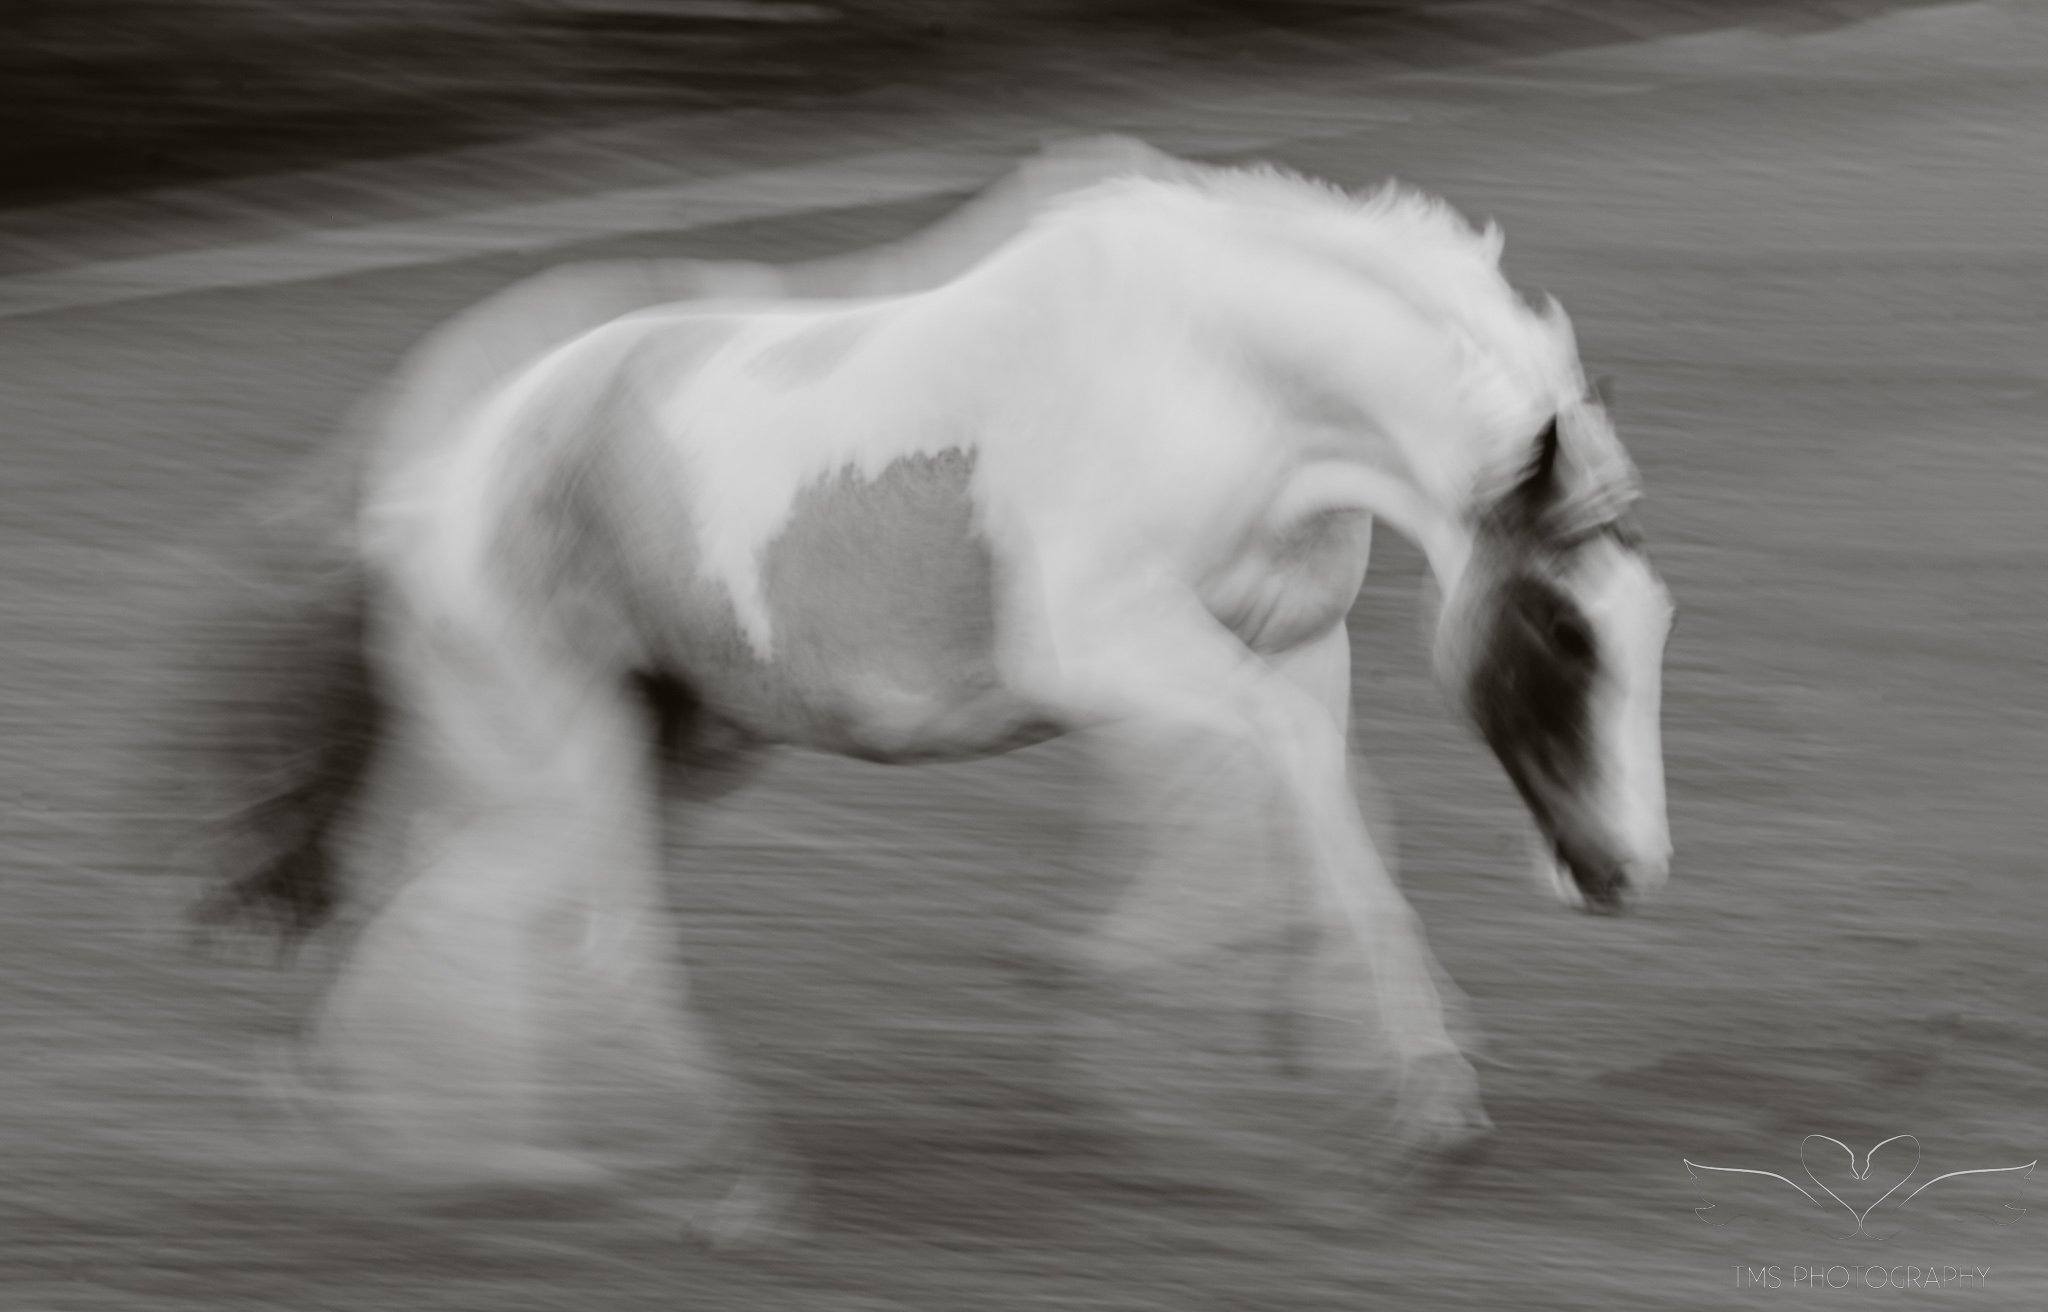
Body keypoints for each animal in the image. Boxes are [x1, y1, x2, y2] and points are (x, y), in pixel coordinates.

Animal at [174, 145, 1675, 1236]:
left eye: (1648, 622)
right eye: (1557, 630)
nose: (1623, 871)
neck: (1216, 372)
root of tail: (430, 471)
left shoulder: (1291, 654)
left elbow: (1332, 822)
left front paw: (1394, 1086)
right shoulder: (1110, 648)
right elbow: (1285, 803)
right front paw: (1288, 1079)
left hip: (670, 749)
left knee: (469, 916)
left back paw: (421, 1133)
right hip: (569, 754)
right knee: (577, 938)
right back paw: (692, 1170)